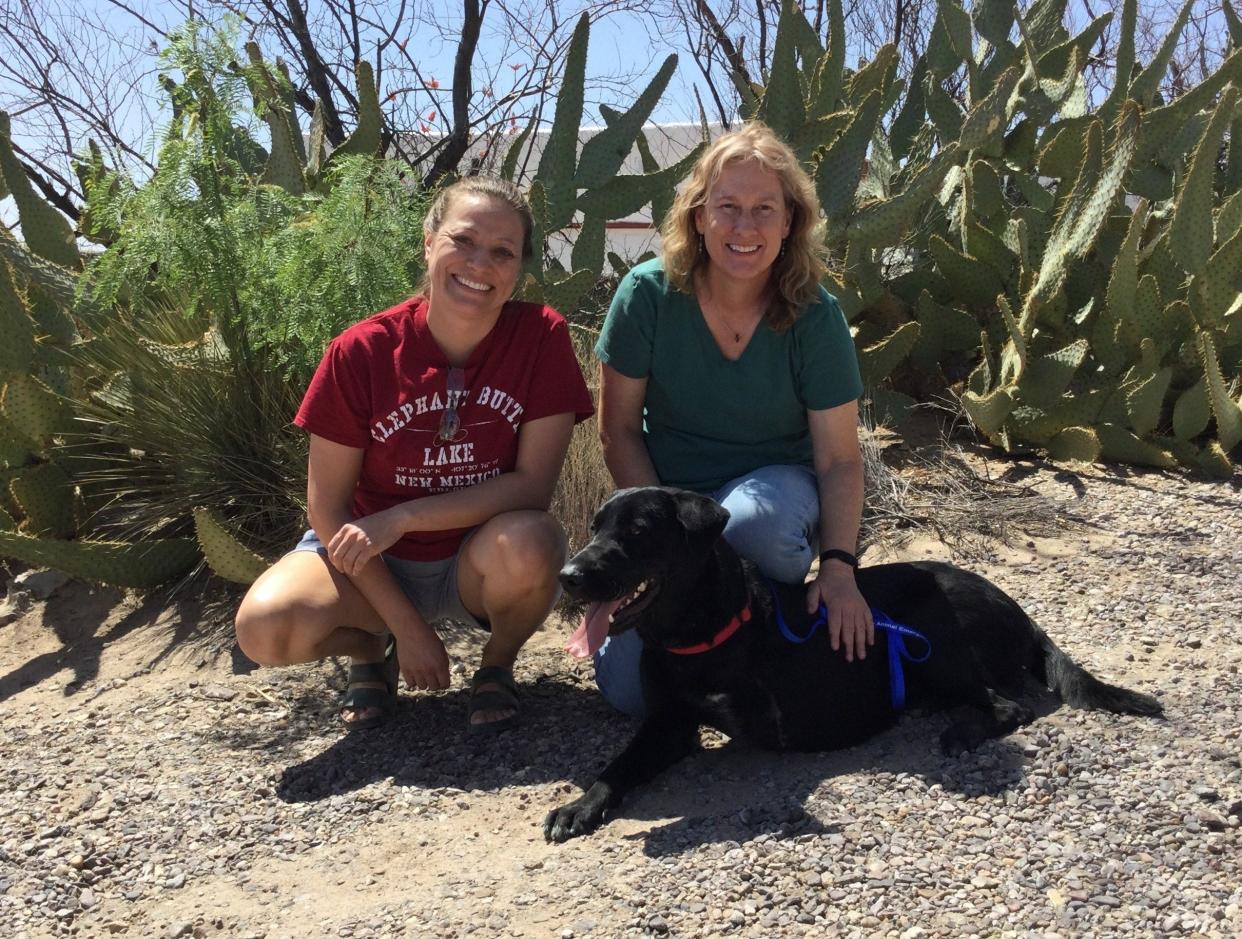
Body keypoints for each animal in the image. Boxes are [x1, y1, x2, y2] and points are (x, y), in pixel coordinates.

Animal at [543, 486, 1162, 839]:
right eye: (594, 527)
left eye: (638, 531)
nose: (568, 576)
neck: (696, 630)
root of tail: (1022, 612)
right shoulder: (667, 724)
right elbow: (619, 765)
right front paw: (580, 805)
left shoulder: (750, 715)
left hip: (933, 632)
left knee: (1008, 706)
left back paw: (959, 730)